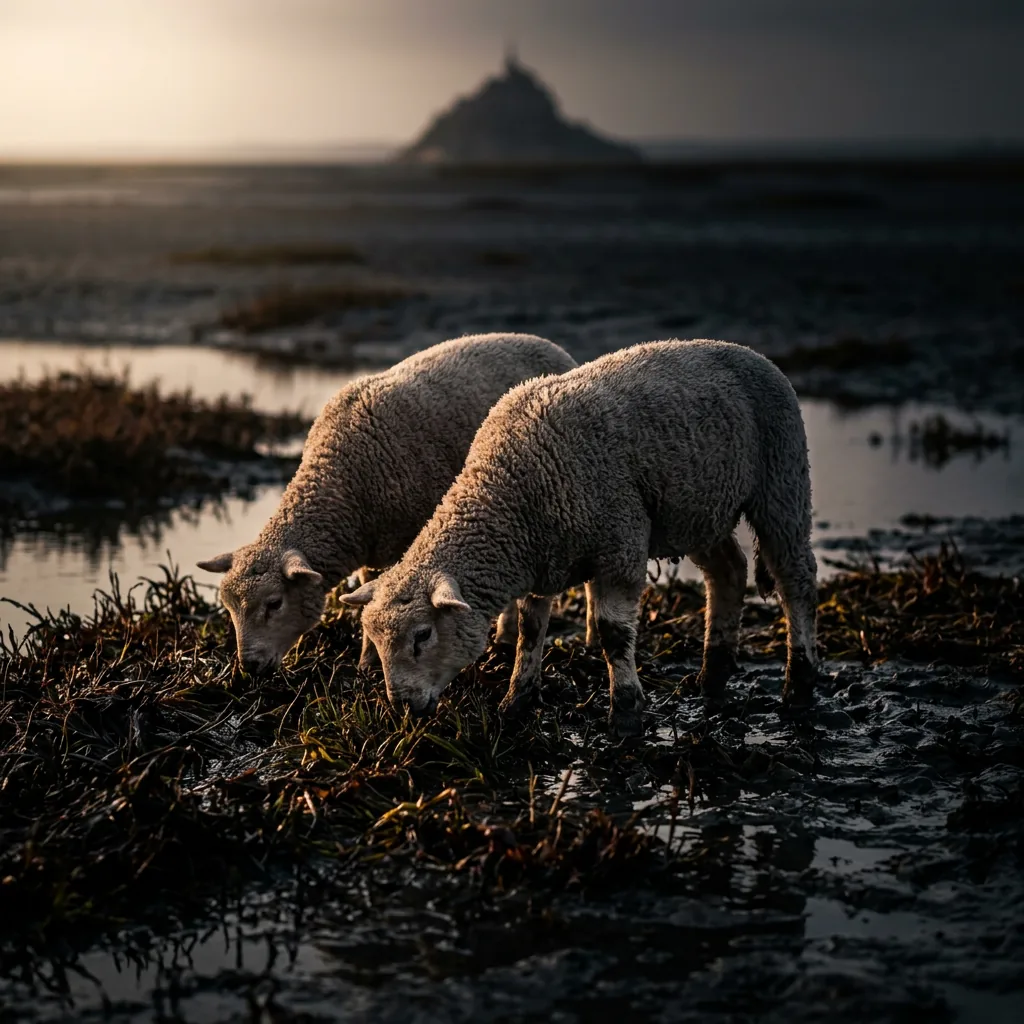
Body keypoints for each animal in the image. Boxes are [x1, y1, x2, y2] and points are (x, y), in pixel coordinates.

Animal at [196, 333, 586, 673]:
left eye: (274, 603)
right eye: (229, 608)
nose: (249, 667)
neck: (339, 484)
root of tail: (547, 344)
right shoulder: (375, 544)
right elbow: (370, 591)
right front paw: (368, 660)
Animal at [342, 339, 818, 736]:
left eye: (422, 635)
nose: (401, 705)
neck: (510, 492)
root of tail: (748, 351)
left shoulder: (619, 545)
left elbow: (612, 633)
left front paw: (625, 712)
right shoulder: (542, 560)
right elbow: (531, 630)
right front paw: (517, 701)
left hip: (781, 478)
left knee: (796, 578)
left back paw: (799, 685)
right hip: (700, 509)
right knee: (728, 573)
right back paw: (713, 675)